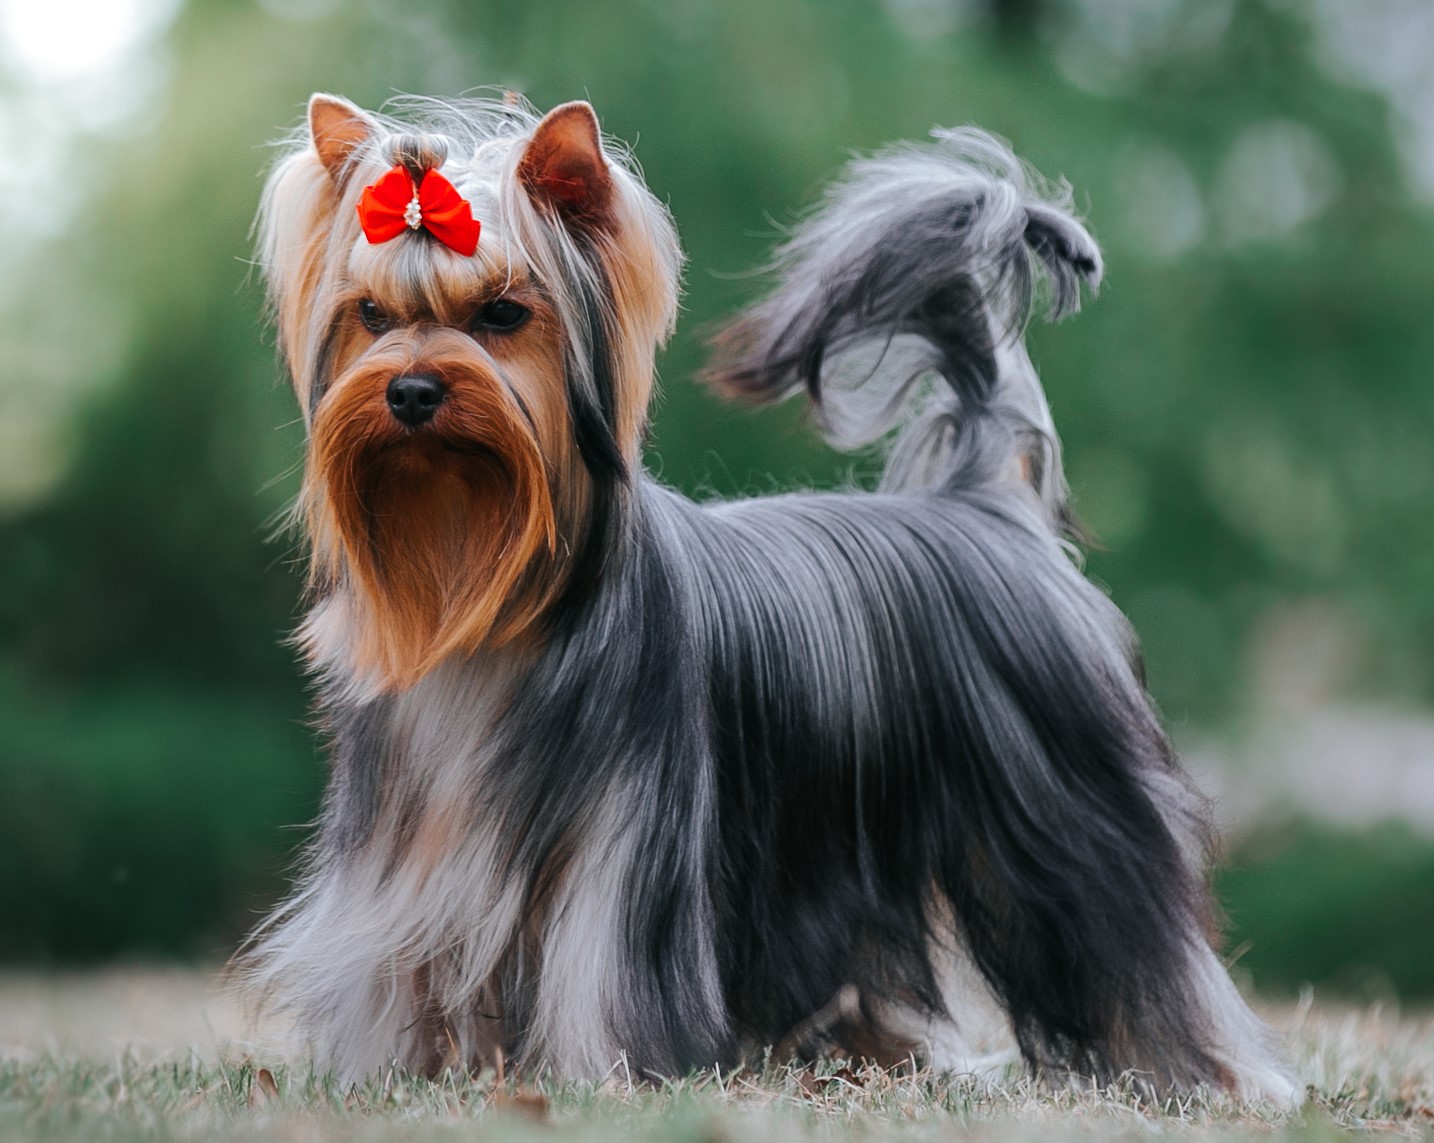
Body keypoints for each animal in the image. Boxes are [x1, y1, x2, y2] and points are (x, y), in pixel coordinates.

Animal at [243, 93, 1302, 1101]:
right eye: (372, 316)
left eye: (503, 315)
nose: (412, 391)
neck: (488, 586)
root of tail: (985, 498)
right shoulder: (405, 855)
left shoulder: (624, 846)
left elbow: (598, 959)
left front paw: (599, 1071)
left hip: (1071, 808)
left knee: (1133, 932)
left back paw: (1211, 1072)